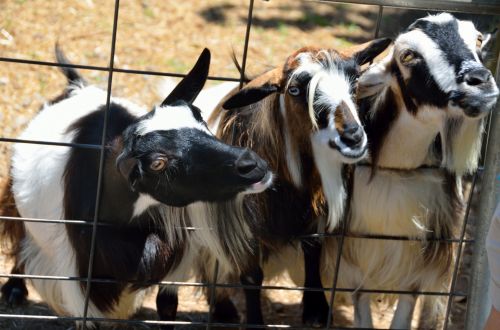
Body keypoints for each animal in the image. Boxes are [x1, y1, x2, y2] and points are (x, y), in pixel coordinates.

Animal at [0, 47, 274, 328]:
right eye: (157, 163)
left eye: (200, 118)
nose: (251, 164)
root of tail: (78, 87)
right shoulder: (79, 279)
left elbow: (167, 304)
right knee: (18, 233)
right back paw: (14, 289)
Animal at [189, 38, 392, 328]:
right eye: (295, 90)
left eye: (354, 81)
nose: (353, 137)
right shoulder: (243, 228)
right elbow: (251, 277)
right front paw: (254, 321)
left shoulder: (315, 213)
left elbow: (313, 253)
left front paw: (316, 310)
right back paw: (222, 310)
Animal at [322, 12, 498, 328]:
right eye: (407, 55)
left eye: (478, 39)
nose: (478, 84)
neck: (396, 170)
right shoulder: (353, 263)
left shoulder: (417, 269)